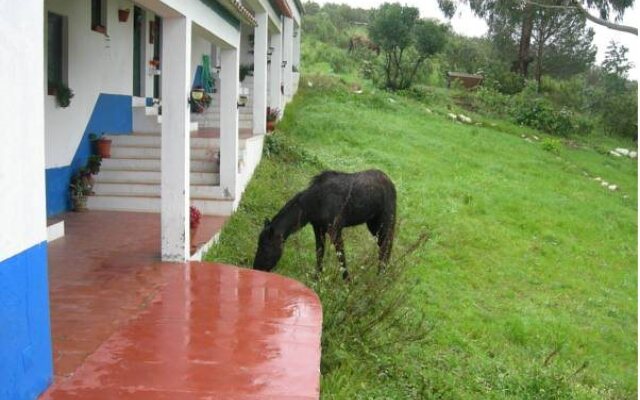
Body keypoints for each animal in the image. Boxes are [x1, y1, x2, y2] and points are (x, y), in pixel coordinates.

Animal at [254, 169, 396, 278]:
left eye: (265, 247)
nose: (256, 267)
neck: (312, 205)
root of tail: (391, 183)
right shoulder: (318, 228)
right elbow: (319, 254)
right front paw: (316, 278)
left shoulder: (335, 231)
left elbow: (341, 259)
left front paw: (348, 284)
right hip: (373, 225)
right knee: (384, 247)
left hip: (385, 223)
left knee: (386, 246)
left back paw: (381, 276)